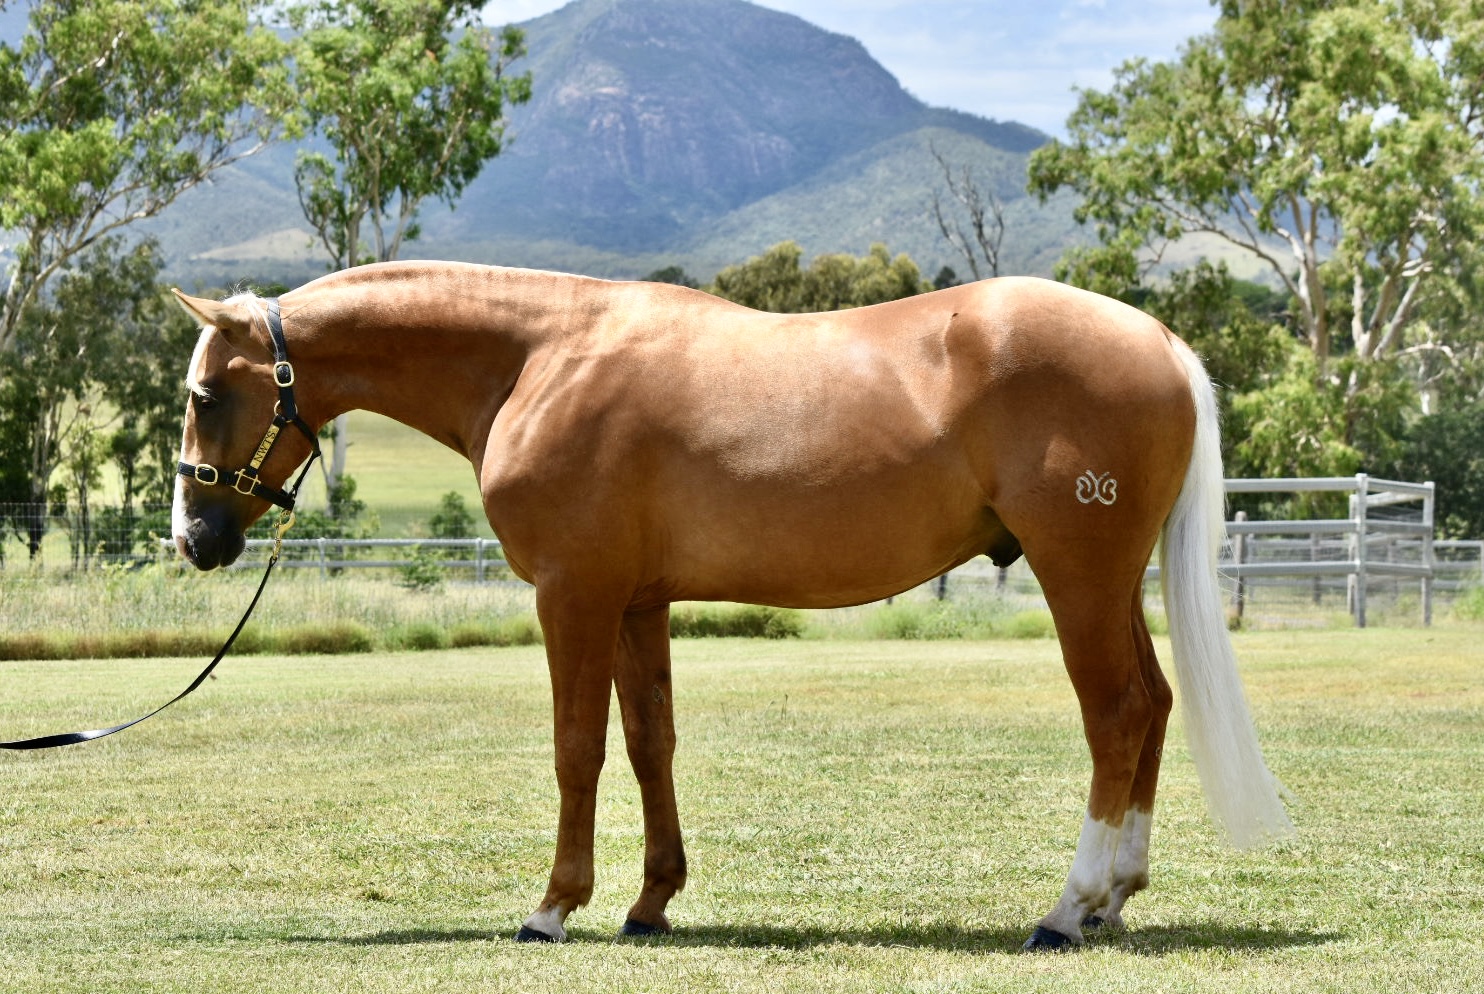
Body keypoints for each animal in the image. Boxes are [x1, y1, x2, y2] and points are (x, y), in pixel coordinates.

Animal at [170, 260, 1293, 950]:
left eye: (204, 396)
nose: (194, 537)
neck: (541, 359)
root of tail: (1156, 338)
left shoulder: (573, 596)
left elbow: (576, 747)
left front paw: (553, 906)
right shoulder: (636, 603)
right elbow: (648, 744)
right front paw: (648, 902)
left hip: (1078, 575)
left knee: (1116, 712)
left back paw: (1067, 910)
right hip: (1107, 581)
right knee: (1151, 705)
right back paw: (1111, 902)